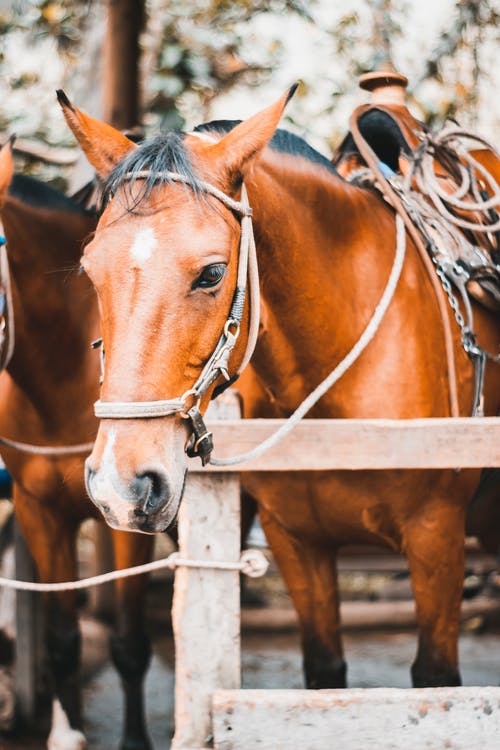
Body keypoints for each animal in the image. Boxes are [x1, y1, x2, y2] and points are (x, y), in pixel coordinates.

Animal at [59, 88, 500, 692]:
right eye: (89, 270)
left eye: (212, 273)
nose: (120, 487)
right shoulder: (296, 542)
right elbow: (324, 673)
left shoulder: (437, 538)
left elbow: (435, 678)